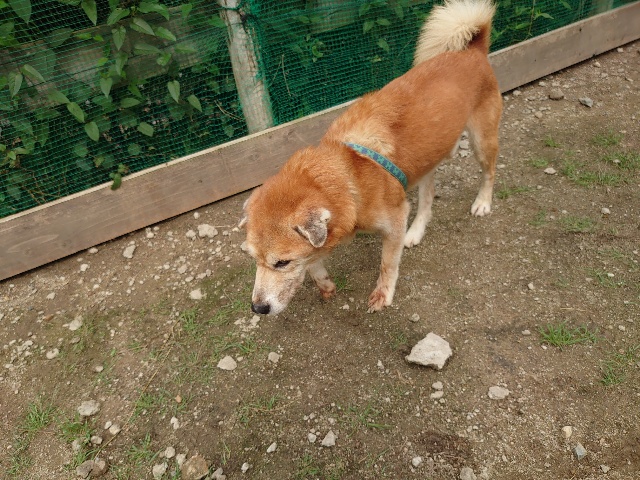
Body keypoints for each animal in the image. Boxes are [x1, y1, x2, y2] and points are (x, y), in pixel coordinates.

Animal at [240, 0, 502, 315]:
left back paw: (482, 203)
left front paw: (383, 294)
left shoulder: (394, 219)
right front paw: (324, 281)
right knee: (427, 198)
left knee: (489, 172)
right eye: (254, 259)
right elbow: (314, 262)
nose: (258, 308)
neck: (348, 175)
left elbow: (387, 263)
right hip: (426, 159)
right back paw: (415, 231)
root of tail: (474, 50)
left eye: (282, 262)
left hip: (481, 141)